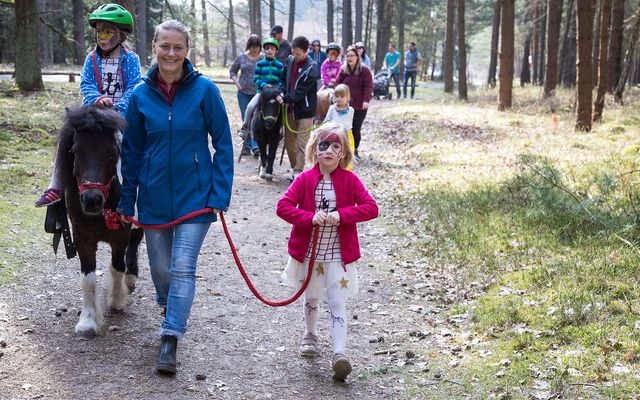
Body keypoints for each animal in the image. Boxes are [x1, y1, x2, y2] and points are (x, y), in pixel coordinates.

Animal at [56, 106, 144, 338]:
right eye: (76, 151)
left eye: (112, 152)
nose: (91, 199)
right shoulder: (82, 237)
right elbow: (88, 280)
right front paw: (87, 322)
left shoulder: (120, 236)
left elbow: (117, 267)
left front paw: (116, 300)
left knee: (135, 243)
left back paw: (131, 280)